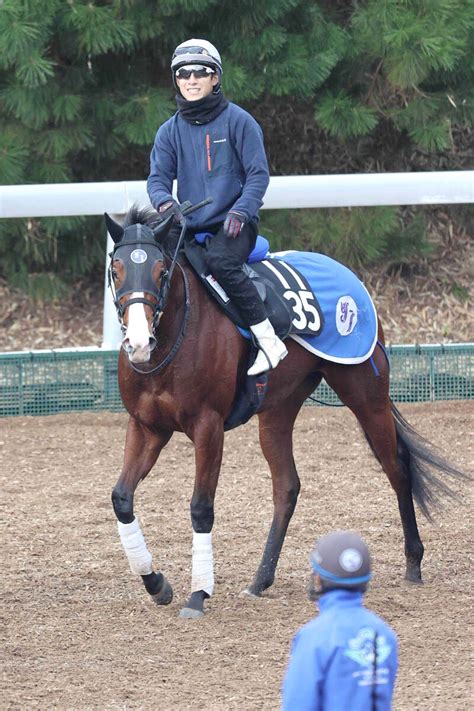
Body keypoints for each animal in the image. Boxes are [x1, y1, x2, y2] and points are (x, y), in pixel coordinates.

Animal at [105, 200, 464, 616]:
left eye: (162, 270)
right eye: (116, 270)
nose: (138, 342)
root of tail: (349, 277)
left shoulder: (208, 427)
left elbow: (201, 507)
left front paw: (198, 594)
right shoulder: (147, 426)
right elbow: (121, 498)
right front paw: (156, 583)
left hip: (365, 393)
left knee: (398, 468)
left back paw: (413, 562)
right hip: (278, 411)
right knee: (287, 486)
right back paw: (260, 580)